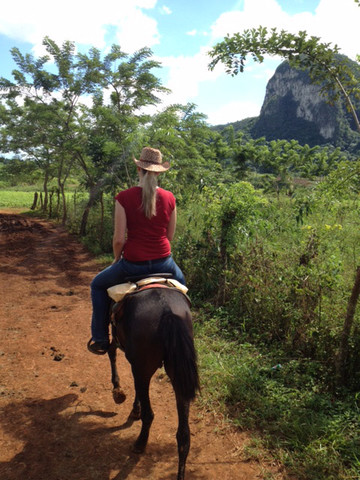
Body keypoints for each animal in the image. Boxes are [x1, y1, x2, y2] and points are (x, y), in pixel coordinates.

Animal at [107, 284, 200, 480]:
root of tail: (167, 310)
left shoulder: (128, 352)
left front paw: (118, 391)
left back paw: (140, 443)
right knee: (183, 435)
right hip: (178, 373)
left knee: (149, 414)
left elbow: (112, 352)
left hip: (144, 367)